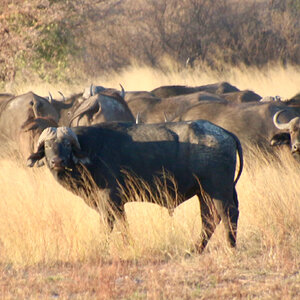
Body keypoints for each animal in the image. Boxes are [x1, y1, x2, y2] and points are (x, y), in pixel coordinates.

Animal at [27, 120, 244, 252]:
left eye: (67, 145)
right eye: (47, 146)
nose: (57, 161)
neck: (90, 152)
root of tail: (225, 133)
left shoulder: (110, 199)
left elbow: (112, 224)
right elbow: (121, 224)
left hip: (218, 190)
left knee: (227, 215)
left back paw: (230, 246)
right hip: (205, 193)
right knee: (211, 219)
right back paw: (195, 249)